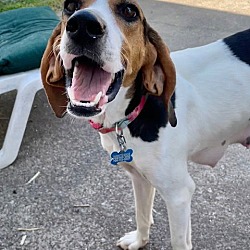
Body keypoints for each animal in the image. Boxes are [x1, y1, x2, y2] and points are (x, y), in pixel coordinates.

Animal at [40, 0, 250, 249]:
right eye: (70, 6)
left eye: (129, 11)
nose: (83, 25)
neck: (129, 115)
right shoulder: (140, 178)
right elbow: (141, 215)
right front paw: (139, 241)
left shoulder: (178, 194)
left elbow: (179, 241)